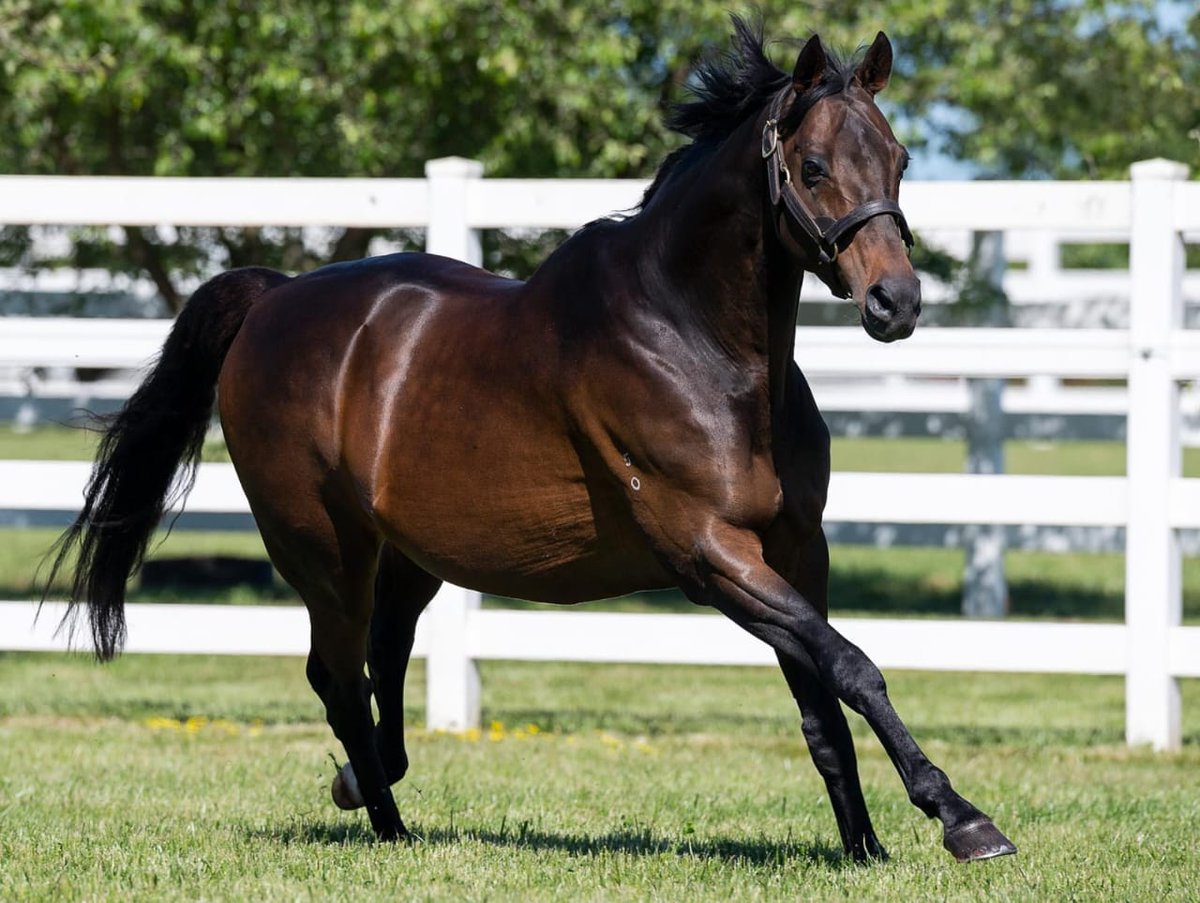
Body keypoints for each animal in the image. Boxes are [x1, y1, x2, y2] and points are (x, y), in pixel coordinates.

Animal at [48, 19, 1016, 863]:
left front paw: (865, 847)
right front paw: (963, 818)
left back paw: (369, 790)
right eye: (813, 167)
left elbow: (823, 706)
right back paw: (386, 823)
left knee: (378, 661)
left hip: (413, 556)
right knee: (338, 675)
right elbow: (855, 665)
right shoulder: (709, 554)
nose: (897, 302)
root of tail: (274, 297)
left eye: (899, 158)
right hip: (324, 550)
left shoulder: (794, 548)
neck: (696, 343)